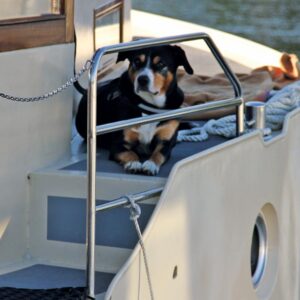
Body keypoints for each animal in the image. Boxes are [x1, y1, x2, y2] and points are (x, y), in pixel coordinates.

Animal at [74, 44, 192, 176]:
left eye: (161, 63)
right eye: (137, 61)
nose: (142, 79)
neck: (149, 107)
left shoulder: (165, 141)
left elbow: (159, 154)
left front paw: (151, 164)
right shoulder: (118, 144)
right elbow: (131, 152)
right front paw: (133, 163)